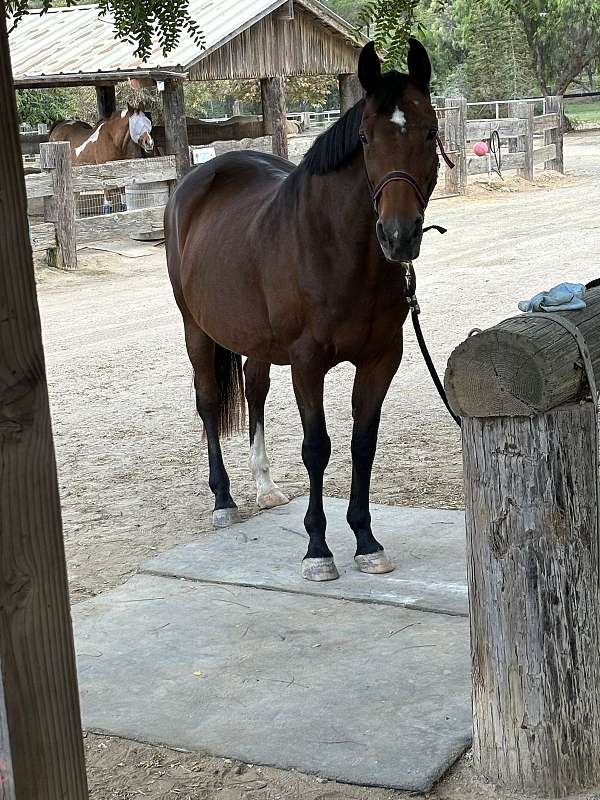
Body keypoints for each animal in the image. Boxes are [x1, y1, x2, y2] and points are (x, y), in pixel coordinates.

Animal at [166, 39, 442, 580]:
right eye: (365, 138)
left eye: (430, 130)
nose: (399, 236)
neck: (335, 250)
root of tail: (197, 180)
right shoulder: (307, 362)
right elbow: (317, 448)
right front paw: (318, 549)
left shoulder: (382, 359)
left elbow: (362, 443)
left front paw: (366, 540)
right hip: (196, 330)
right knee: (208, 403)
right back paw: (224, 501)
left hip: (256, 343)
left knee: (254, 392)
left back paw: (265, 487)